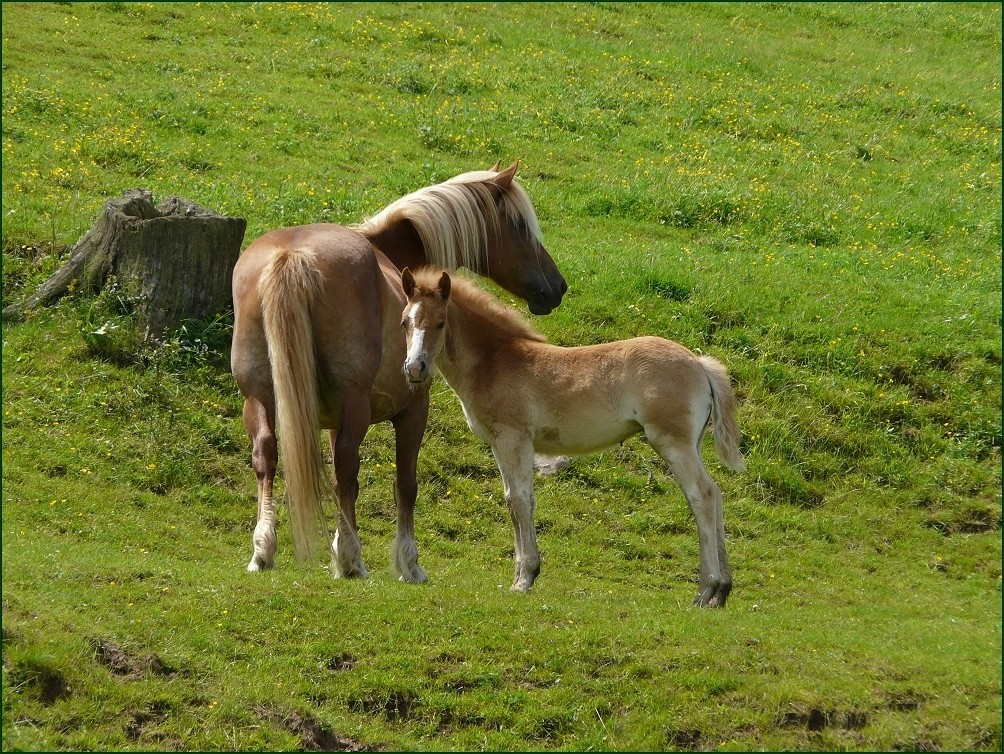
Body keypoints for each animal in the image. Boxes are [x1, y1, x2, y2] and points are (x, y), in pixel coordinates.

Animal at [229, 162, 570, 582]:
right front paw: (409, 563)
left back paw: (264, 550)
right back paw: (353, 559)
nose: (557, 286)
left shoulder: (333, 417)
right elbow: (406, 484)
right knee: (347, 467)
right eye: (520, 226)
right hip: (352, 405)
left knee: (267, 455)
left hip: (259, 397)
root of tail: (292, 253)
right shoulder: (412, 410)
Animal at [399, 269, 746, 606]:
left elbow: (520, 501)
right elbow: (512, 498)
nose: (415, 368)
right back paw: (722, 592)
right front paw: (520, 575)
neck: (493, 362)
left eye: (441, 322)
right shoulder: (499, 444)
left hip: (674, 443)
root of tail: (699, 363)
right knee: (716, 494)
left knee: (702, 495)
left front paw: (525, 579)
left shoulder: (514, 438)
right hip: (691, 444)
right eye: (405, 321)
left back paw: (706, 590)